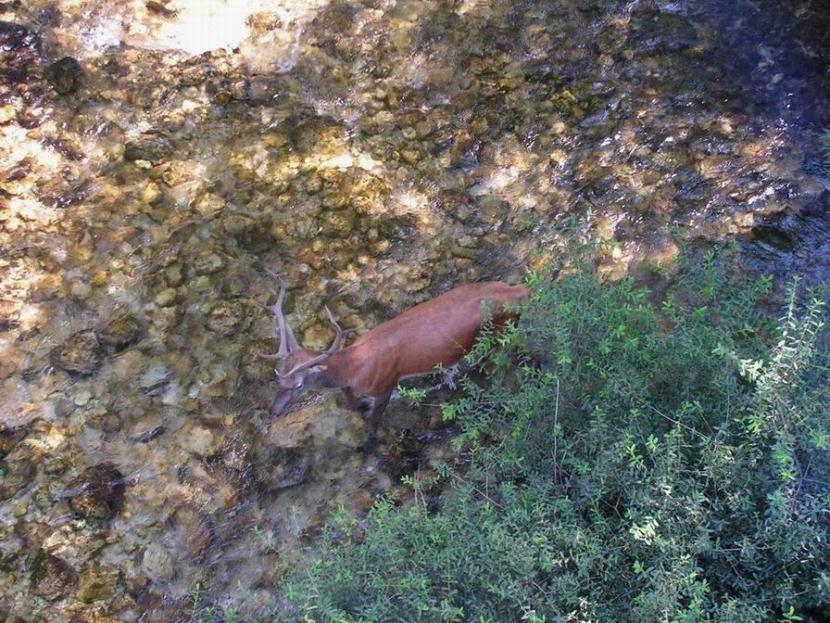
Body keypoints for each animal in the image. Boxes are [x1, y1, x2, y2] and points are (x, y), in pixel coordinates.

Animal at [261, 271, 529, 448]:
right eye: (278, 379)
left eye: (298, 385)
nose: (272, 411)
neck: (354, 369)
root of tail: (517, 291)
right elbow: (353, 405)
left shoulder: (385, 384)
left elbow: (373, 423)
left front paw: (368, 446)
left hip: (498, 331)